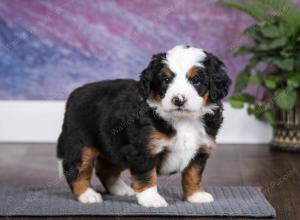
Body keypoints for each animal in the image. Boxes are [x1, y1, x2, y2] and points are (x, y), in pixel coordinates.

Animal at [58, 45, 232, 208]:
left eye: (196, 80)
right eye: (166, 80)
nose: (178, 100)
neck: (183, 120)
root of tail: (76, 92)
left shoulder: (201, 149)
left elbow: (193, 174)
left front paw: (196, 195)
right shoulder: (143, 149)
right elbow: (147, 175)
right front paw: (151, 199)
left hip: (115, 145)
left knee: (106, 168)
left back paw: (119, 189)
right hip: (81, 143)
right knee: (77, 169)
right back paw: (87, 195)